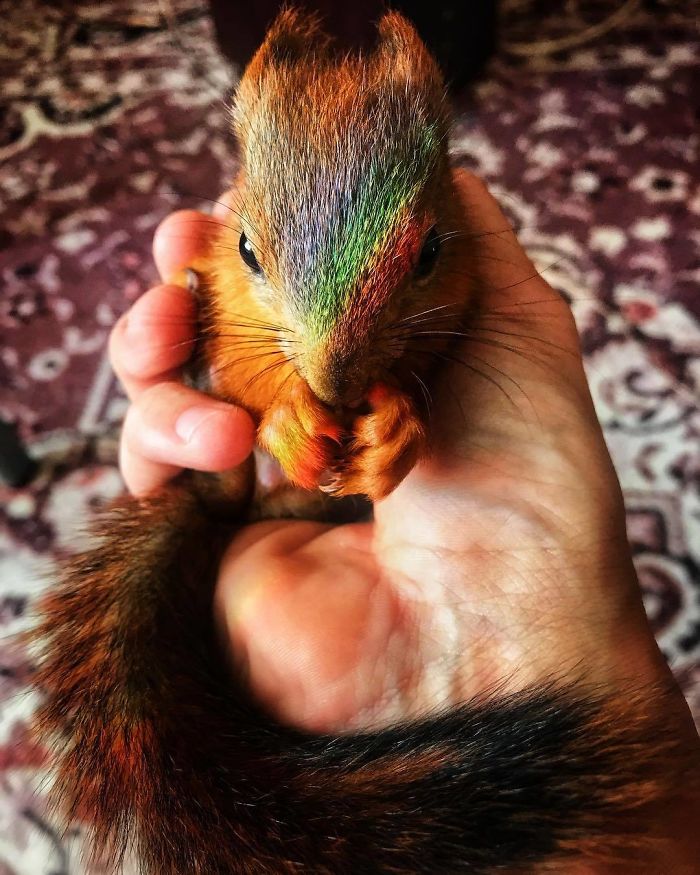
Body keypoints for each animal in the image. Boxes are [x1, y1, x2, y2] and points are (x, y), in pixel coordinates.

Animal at [33, 10, 690, 875]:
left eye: (432, 250)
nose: (337, 382)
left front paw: (392, 428)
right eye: (245, 249)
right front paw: (293, 418)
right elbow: (247, 378)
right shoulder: (224, 321)